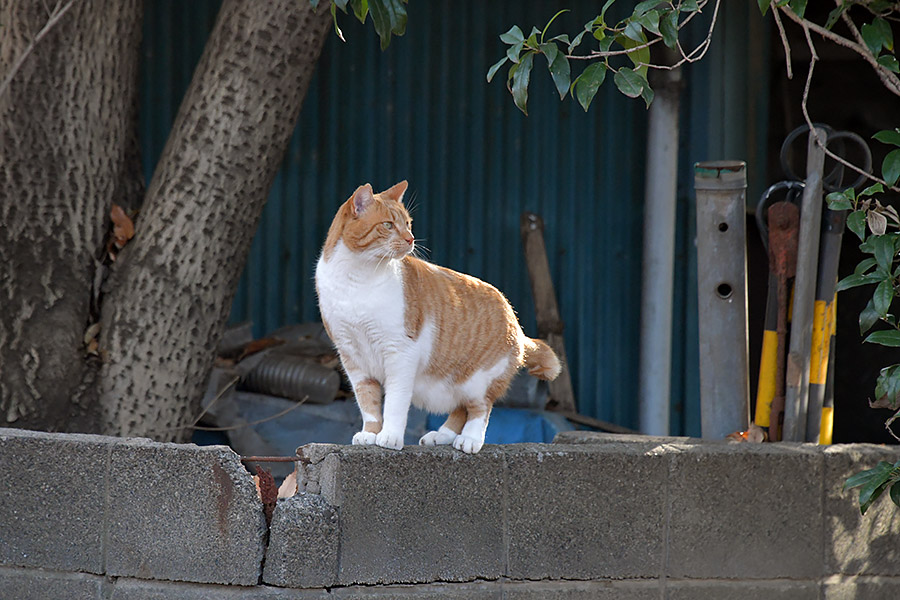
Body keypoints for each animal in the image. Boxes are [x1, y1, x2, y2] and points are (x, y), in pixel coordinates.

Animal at [312, 180, 560, 452]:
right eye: (388, 225)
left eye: (407, 224)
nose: (410, 238)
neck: (355, 279)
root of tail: (514, 319)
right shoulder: (352, 357)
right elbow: (368, 402)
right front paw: (370, 433)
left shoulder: (400, 354)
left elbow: (395, 402)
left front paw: (389, 436)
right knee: (461, 408)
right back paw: (441, 436)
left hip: (480, 379)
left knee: (479, 408)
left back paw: (470, 440)